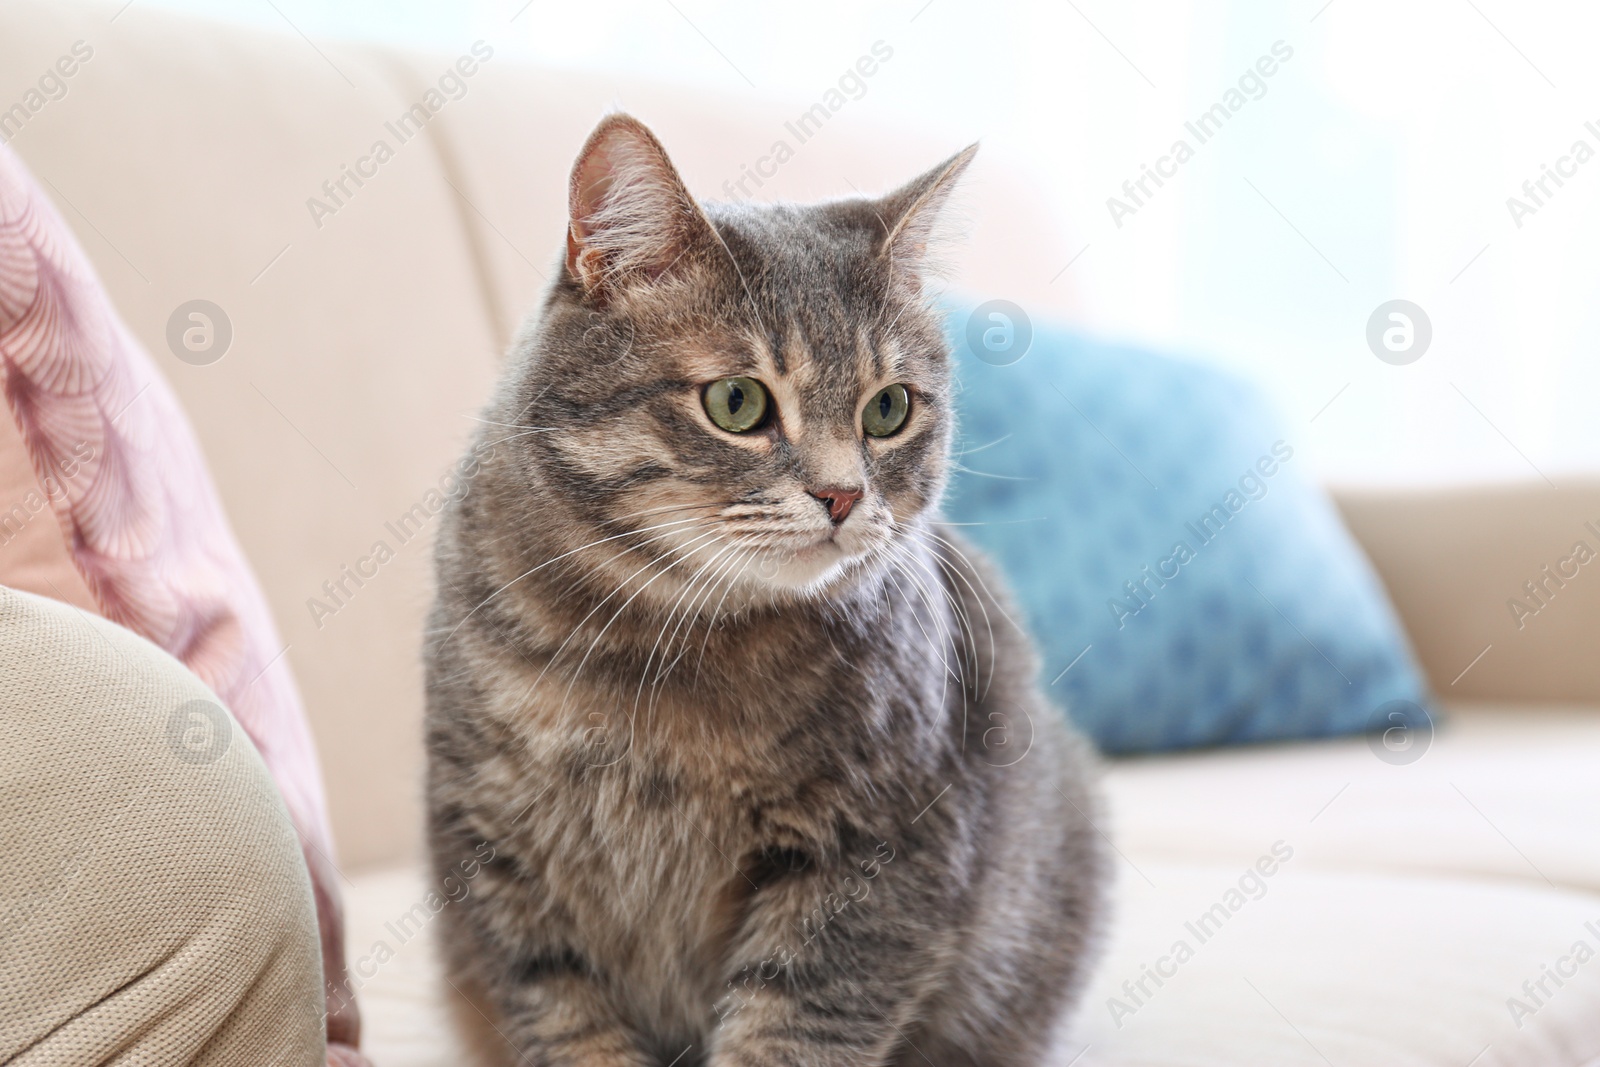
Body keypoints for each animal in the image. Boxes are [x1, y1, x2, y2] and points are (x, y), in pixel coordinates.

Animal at [419, 112, 1107, 1062]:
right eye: (738, 402)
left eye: (888, 409)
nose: (843, 494)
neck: (658, 659)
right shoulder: (496, 860)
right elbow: (568, 1024)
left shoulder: (875, 857)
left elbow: (790, 1031)